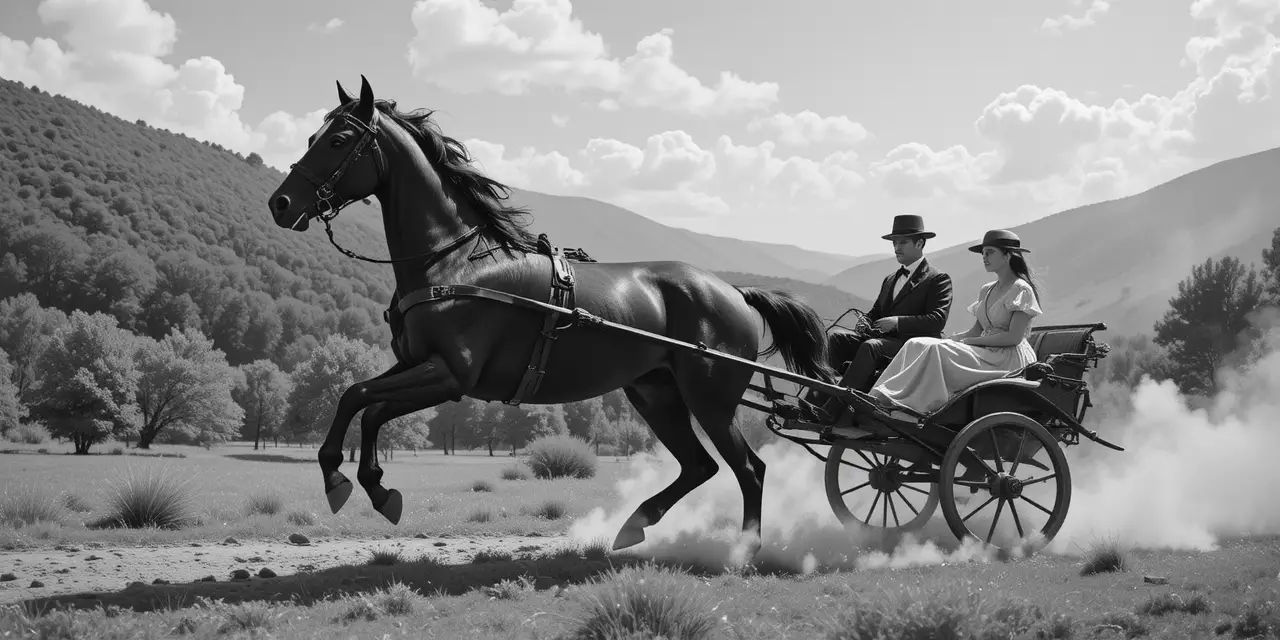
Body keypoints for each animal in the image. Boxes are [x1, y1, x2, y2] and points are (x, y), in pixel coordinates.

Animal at [265, 75, 837, 559]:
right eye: (314, 134)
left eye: (339, 140)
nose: (281, 203)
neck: (453, 263)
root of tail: (732, 292)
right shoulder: (417, 368)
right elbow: (362, 401)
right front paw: (364, 482)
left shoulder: (450, 376)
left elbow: (362, 399)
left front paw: (351, 480)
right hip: (655, 393)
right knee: (701, 466)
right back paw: (635, 526)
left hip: (710, 399)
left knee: (750, 469)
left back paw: (742, 551)